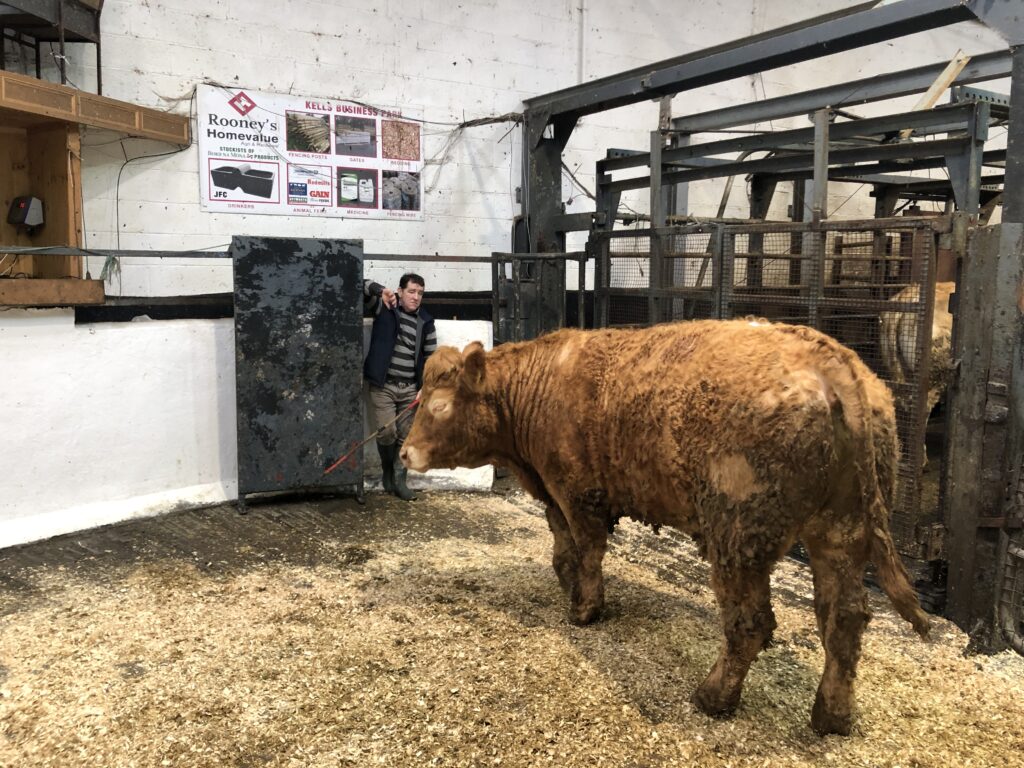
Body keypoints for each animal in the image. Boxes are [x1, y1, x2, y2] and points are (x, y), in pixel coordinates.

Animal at [400, 319, 930, 736]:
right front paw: (568, 584)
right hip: (839, 533)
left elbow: (586, 549)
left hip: (738, 536)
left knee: (750, 623)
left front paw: (586, 608)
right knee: (843, 620)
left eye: (439, 407)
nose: (404, 453)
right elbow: (562, 544)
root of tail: (831, 359)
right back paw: (831, 716)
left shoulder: (577, 491)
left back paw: (713, 696)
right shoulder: (554, 492)